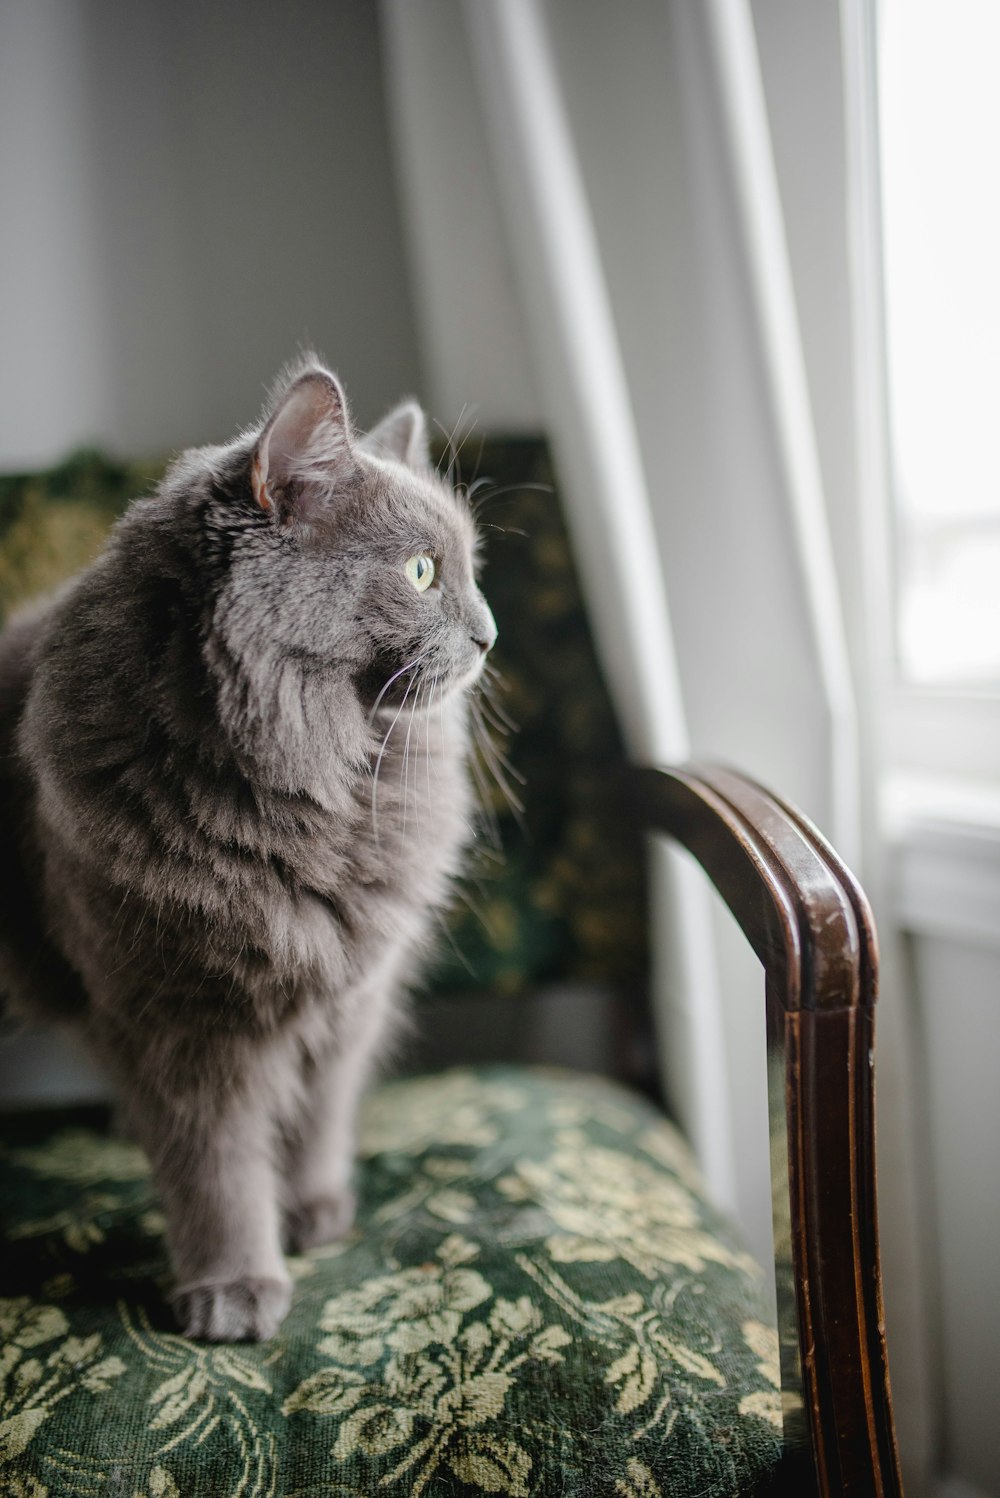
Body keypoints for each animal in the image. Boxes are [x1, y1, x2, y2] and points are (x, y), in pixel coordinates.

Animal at [0, 359, 497, 1348]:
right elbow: (218, 1170)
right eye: (422, 571)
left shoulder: (348, 997)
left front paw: (312, 1216)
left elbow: (316, 1120)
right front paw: (234, 1288)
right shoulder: (183, 1023)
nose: (490, 633)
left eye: (468, 567)